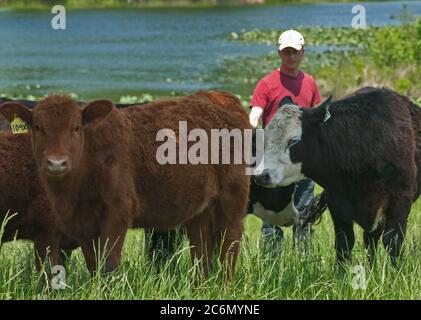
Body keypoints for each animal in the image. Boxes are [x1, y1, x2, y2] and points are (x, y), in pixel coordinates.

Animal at [0, 91, 249, 278]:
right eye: (37, 127)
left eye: (76, 128)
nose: (56, 163)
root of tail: (220, 96)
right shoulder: (82, 225)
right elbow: (94, 265)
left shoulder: (118, 210)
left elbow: (109, 264)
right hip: (200, 209)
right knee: (202, 247)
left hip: (232, 198)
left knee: (229, 243)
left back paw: (224, 287)